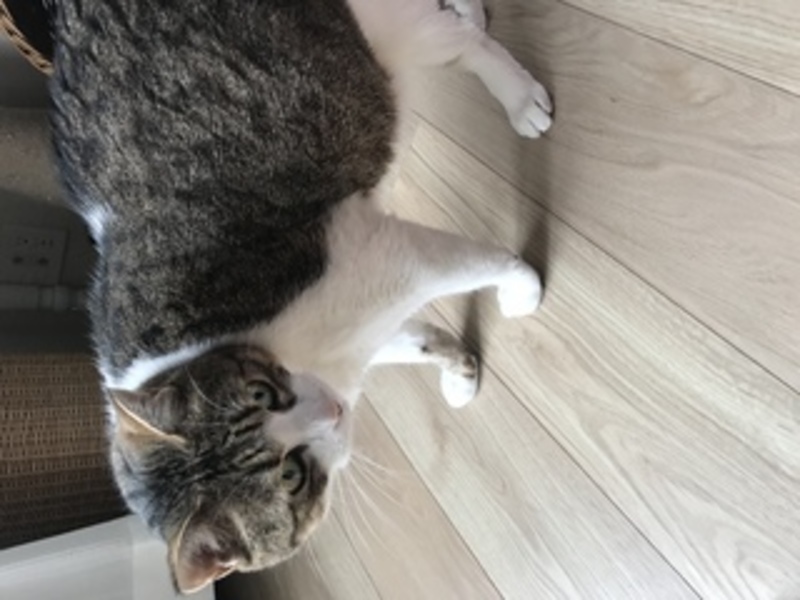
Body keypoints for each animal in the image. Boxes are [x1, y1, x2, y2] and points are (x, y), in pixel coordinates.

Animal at [49, 0, 552, 593]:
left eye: (262, 393)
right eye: (292, 476)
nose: (332, 410)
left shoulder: (385, 253)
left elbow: (483, 264)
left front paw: (522, 292)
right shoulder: (365, 333)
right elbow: (413, 340)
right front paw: (458, 371)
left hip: (378, 33)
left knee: (459, 45)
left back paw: (519, 97)